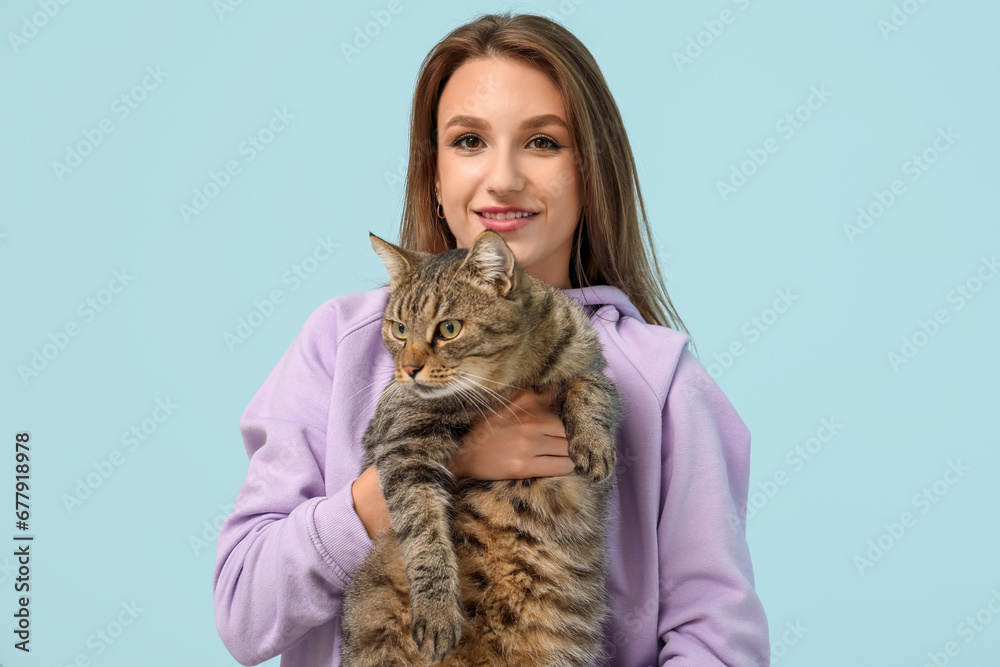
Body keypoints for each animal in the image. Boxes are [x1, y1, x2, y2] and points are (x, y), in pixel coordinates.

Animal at [344, 231, 624, 667]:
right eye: (400, 330)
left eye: (449, 328)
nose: (408, 369)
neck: (508, 379)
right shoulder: (404, 444)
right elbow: (423, 533)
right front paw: (437, 610)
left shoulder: (591, 364)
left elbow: (588, 388)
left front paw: (595, 446)